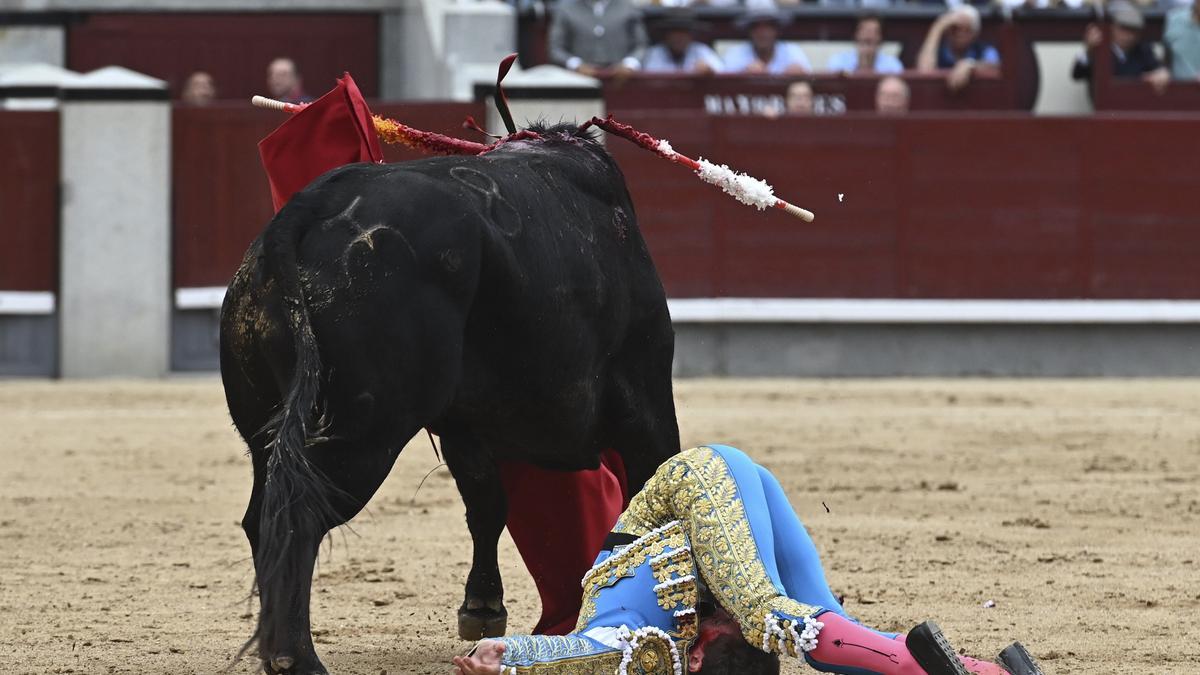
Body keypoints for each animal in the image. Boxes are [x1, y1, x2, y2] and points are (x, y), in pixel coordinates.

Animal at [219, 127, 681, 672]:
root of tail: (305, 209)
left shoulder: (466, 423)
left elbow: (486, 505)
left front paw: (482, 608)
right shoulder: (646, 403)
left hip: (264, 427)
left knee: (263, 520)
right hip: (361, 434)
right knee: (299, 519)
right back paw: (298, 658)